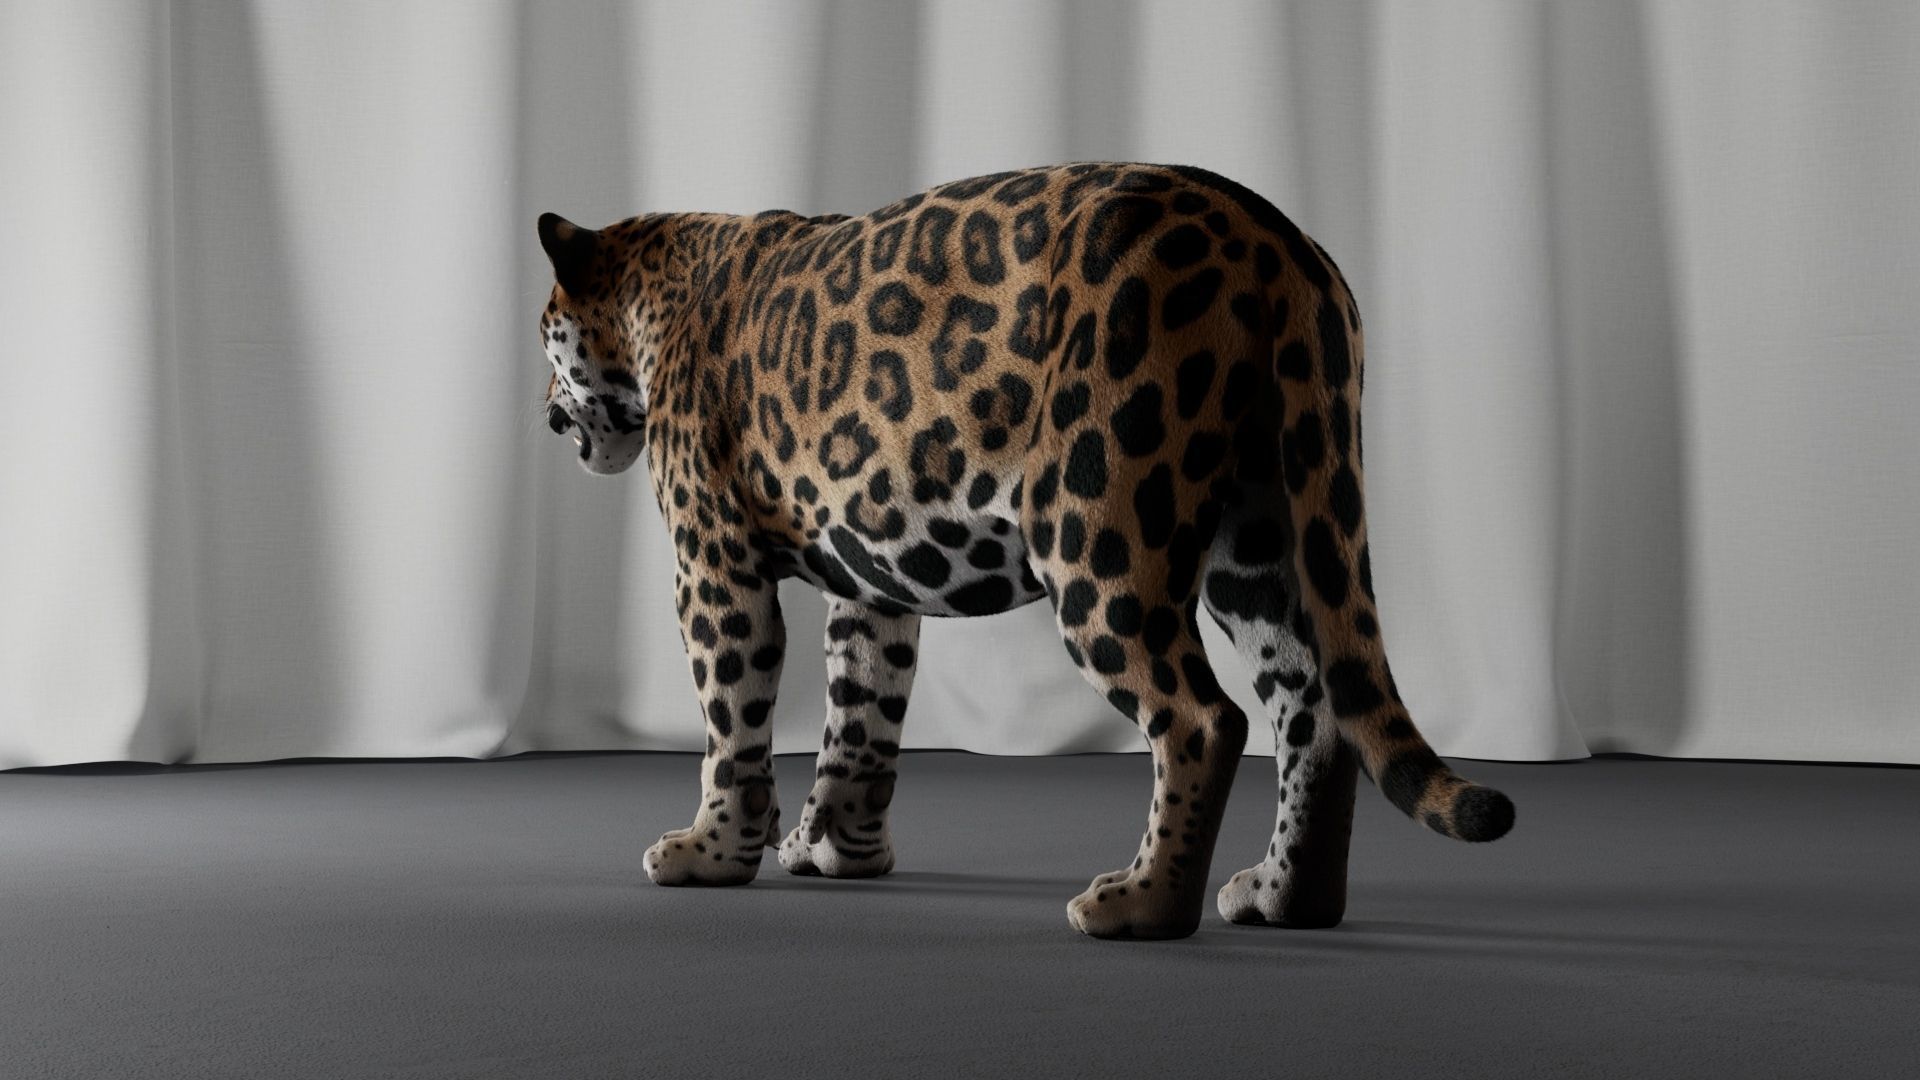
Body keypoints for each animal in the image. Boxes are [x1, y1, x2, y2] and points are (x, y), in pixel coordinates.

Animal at [534, 162, 1515, 940]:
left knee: (1205, 718)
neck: (652, 288)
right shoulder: (871, 581)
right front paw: (835, 849)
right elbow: (861, 715)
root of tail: (1273, 238)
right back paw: (1284, 897)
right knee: (1314, 710)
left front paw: (711, 851)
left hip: (1099, 529)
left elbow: (731, 721)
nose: (545, 415)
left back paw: (1141, 906)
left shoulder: (713, 566)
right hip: (1265, 534)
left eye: (545, 334)